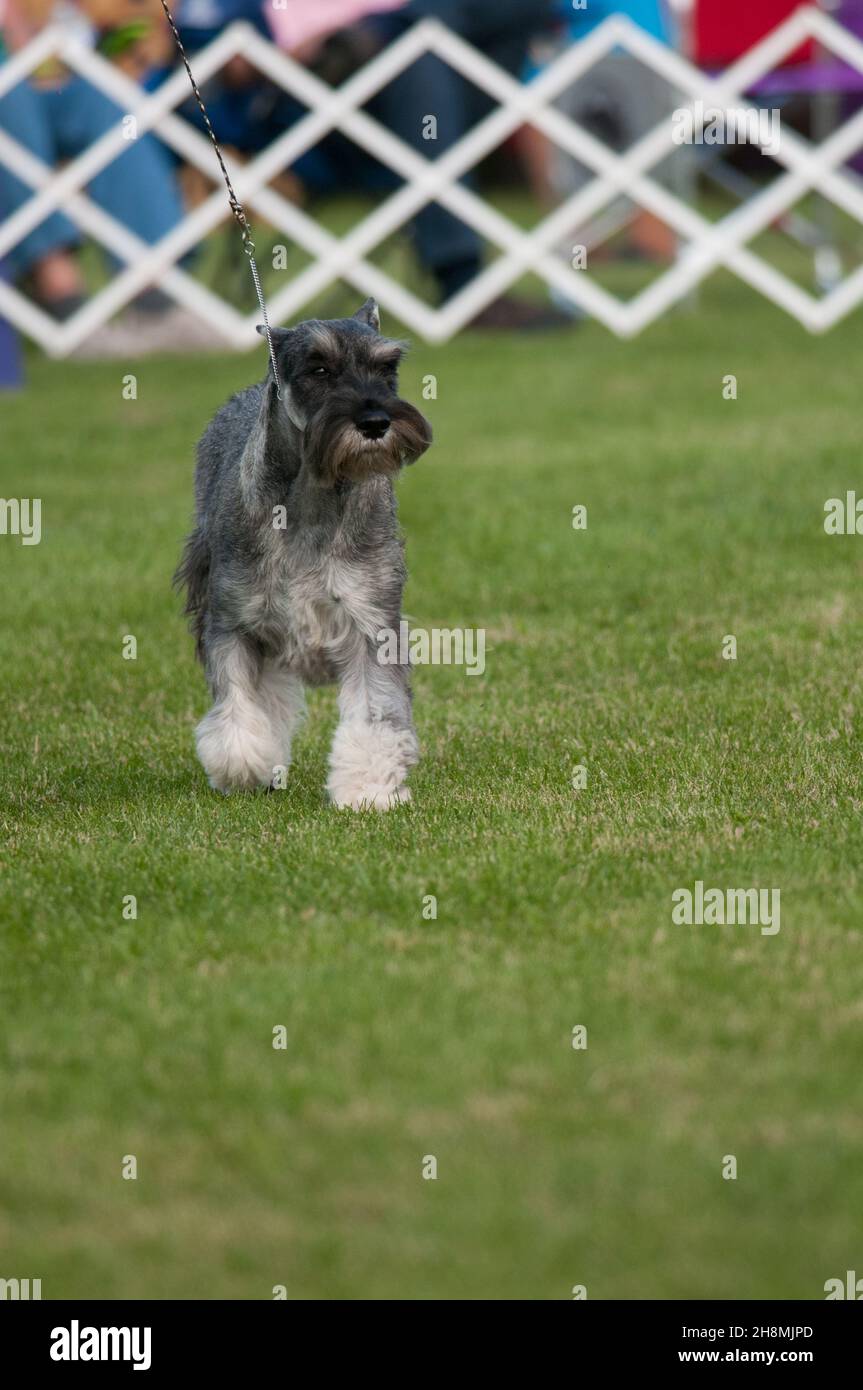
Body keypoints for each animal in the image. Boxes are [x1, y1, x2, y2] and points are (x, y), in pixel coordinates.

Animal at [175, 298, 430, 811]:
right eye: (319, 368)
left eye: (387, 367)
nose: (376, 423)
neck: (313, 498)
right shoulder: (233, 624)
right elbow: (237, 704)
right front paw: (242, 767)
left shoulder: (371, 624)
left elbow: (374, 714)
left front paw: (368, 789)